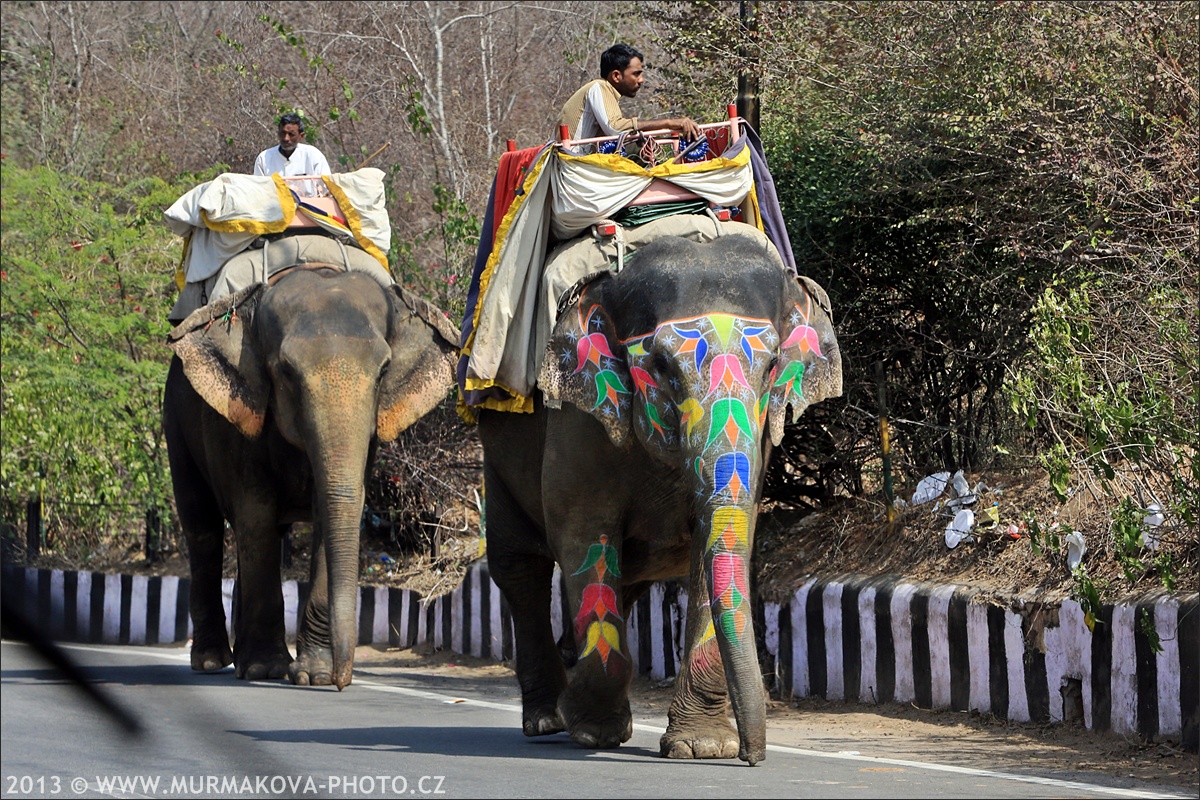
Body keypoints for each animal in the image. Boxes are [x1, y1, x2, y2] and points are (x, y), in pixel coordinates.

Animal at [160, 267, 458, 690]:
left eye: (384, 371)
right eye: (286, 370)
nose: (342, 681)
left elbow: (328, 509)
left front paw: (311, 675)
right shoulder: (240, 418)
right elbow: (256, 513)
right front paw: (266, 670)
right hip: (176, 420)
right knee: (203, 528)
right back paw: (213, 661)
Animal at [477, 231, 844, 762]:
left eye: (773, 365)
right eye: (661, 365)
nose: (753, 757)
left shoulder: (759, 443)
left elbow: (713, 545)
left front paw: (702, 747)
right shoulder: (578, 421)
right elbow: (584, 536)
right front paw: (594, 733)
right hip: (497, 451)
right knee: (520, 569)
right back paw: (547, 719)